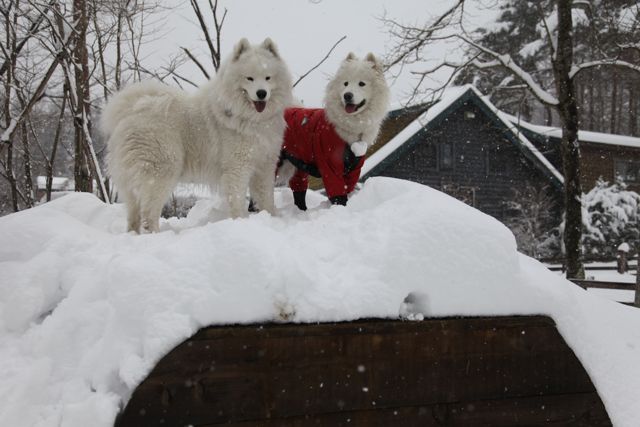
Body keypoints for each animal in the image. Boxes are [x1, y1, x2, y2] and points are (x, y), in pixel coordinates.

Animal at [102, 39, 292, 234]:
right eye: (249, 78)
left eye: (268, 78)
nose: (261, 93)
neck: (252, 119)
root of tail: (130, 111)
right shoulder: (237, 167)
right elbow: (238, 199)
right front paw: (240, 222)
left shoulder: (265, 165)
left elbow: (266, 197)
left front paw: (271, 218)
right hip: (162, 171)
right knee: (148, 214)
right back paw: (155, 234)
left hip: (132, 181)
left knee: (133, 215)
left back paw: (134, 234)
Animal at [278, 52, 390, 210]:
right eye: (345, 83)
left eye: (362, 83)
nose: (347, 95)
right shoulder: (330, 163)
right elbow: (338, 195)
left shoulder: (354, 169)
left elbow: (347, 189)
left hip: (296, 165)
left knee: (298, 191)